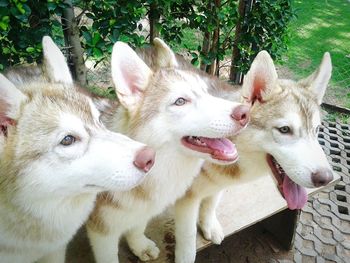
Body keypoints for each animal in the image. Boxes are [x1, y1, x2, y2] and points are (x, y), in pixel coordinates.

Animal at [85, 39, 249, 263]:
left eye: (206, 92)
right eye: (180, 101)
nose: (245, 113)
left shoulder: (143, 211)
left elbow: (137, 228)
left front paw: (139, 246)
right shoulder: (102, 232)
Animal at [175, 50, 334, 262]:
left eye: (316, 130)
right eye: (285, 130)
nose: (325, 178)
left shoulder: (216, 186)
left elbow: (210, 204)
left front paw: (209, 226)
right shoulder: (185, 201)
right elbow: (187, 241)